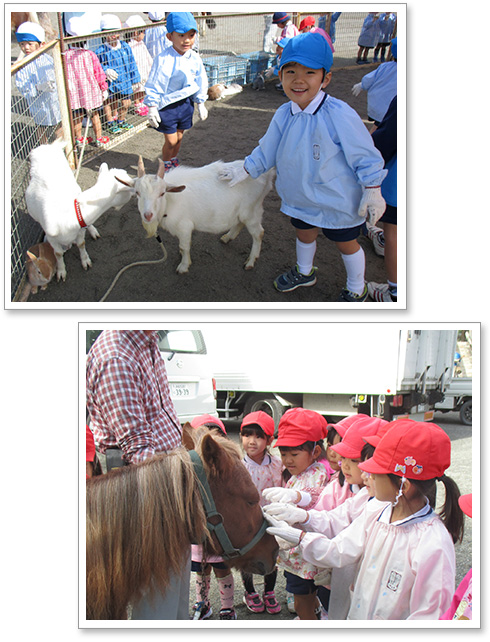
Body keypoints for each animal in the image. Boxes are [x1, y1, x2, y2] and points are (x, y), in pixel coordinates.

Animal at [24, 140, 132, 280]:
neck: (70, 213)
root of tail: (48, 147)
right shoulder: (52, 237)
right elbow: (58, 253)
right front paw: (61, 271)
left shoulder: (80, 228)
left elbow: (81, 244)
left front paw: (85, 261)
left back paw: (92, 231)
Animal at [117, 159, 274, 274]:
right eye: (137, 193)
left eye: (162, 193)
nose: (148, 215)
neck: (170, 201)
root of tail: (268, 174)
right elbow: (182, 246)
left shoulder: (185, 226)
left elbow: (184, 246)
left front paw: (184, 266)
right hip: (243, 211)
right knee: (240, 223)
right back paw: (227, 237)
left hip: (252, 210)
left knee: (258, 233)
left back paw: (250, 261)